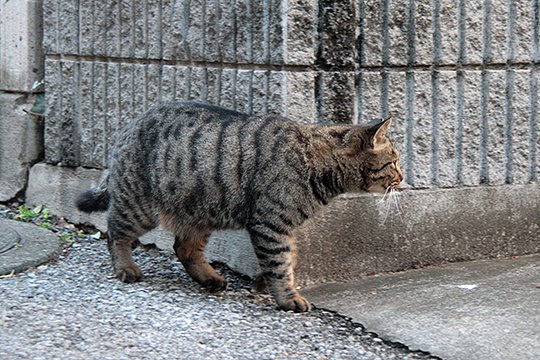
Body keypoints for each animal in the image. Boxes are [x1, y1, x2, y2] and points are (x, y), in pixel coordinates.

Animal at [78, 100, 402, 312]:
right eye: (395, 162)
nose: (402, 177)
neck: (318, 167)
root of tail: (131, 122)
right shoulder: (270, 223)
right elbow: (279, 263)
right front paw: (287, 297)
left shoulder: (284, 227)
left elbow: (290, 258)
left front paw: (264, 283)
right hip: (139, 205)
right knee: (115, 232)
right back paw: (126, 267)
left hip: (199, 211)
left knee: (184, 248)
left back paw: (209, 279)